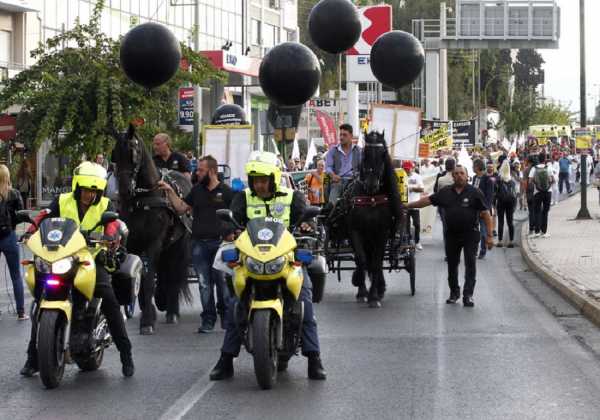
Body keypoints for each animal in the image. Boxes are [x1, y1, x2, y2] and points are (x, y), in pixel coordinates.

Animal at [110, 125, 190, 334]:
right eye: (115, 155)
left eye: (133, 153)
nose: (124, 190)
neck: (142, 199)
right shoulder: (133, 244)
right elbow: (139, 277)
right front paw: (148, 313)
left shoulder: (153, 244)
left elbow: (147, 281)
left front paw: (147, 321)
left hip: (177, 246)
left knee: (172, 274)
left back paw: (171, 310)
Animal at [342, 131, 404, 308]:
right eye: (365, 154)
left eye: (383, 154)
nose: (371, 184)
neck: (371, 198)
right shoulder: (355, 231)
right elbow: (361, 260)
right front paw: (362, 291)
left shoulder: (382, 233)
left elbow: (376, 263)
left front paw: (374, 296)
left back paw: (380, 288)